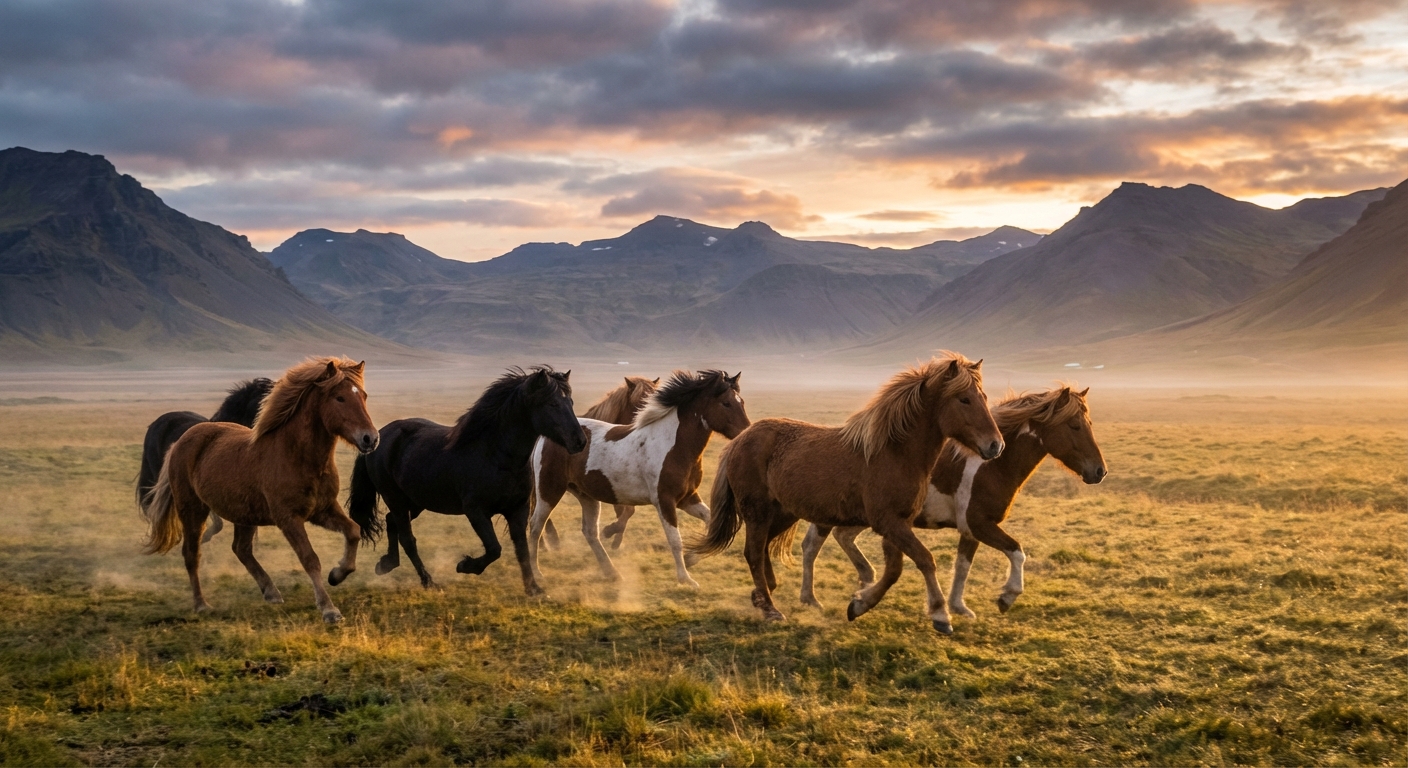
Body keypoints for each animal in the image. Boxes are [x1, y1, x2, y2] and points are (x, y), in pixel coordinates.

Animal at [348, 366, 586, 595]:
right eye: (552, 403)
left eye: (571, 402)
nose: (580, 441)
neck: (496, 456)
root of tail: (379, 436)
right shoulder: (476, 511)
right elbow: (494, 549)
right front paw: (466, 566)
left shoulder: (518, 509)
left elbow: (522, 549)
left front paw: (533, 588)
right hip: (396, 499)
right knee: (407, 539)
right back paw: (429, 582)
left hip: (415, 502)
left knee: (391, 522)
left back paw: (386, 564)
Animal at [528, 370, 748, 589]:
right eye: (726, 403)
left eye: (742, 402)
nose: (746, 432)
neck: (673, 445)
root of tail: (546, 436)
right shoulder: (665, 501)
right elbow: (675, 540)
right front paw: (686, 578)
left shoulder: (688, 499)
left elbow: (712, 522)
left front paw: (692, 558)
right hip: (549, 490)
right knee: (535, 526)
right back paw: (536, 575)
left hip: (586, 496)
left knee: (590, 532)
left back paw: (613, 573)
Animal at [688, 353, 1003, 635]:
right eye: (964, 399)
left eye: (984, 397)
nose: (995, 445)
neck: (894, 453)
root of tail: (741, 439)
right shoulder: (889, 523)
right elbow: (924, 560)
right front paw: (940, 615)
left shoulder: (897, 523)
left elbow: (894, 570)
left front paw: (859, 604)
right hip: (758, 512)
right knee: (753, 552)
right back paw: (770, 608)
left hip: (782, 514)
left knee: (762, 548)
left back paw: (762, 594)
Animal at [799, 386, 1106, 621]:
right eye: (1075, 426)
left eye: (1090, 425)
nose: (1099, 472)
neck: (990, 465)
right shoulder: (979, 524)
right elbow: (1017, 551)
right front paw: (1007, 596)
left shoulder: (969, 530)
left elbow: (962, 566)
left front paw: (959, 607)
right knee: (812, 546)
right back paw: (811, 598)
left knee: (840, 537)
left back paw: (862, 581)